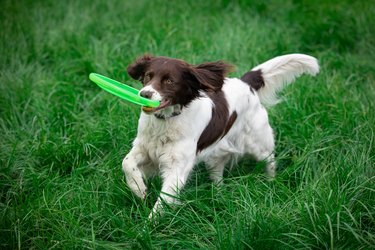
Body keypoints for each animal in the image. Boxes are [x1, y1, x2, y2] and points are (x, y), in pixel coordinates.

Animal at [122, 53, 318, 218]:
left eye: (169, 80)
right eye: (148, 76)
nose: (144, 94)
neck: (166, 121)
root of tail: (246, 84)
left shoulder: (177, 168)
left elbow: (163, 200)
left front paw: (147, 228)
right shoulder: (145, 148)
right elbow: (127, 163)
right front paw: (138, 188)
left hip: (257, 142)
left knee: (270, 160)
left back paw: (271, 182)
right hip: (216, 155)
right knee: (218, 176)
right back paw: (218, 194)